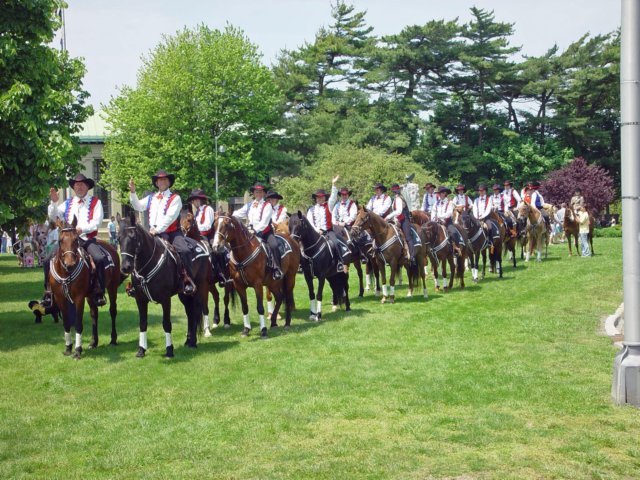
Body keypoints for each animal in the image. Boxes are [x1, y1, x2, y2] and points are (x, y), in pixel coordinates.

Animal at [49, 218, 122, 360]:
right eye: (61, 240)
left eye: (75, 240)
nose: (70, 264)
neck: (65, 273)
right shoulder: (60, 298)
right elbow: (66, 323)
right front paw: (68, 348)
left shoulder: (79, 298)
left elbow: (78, 324)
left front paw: (77, 350)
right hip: (90, 295)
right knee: (94, 314)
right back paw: (94, 342)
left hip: (112, 287)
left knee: (113, 311)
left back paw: (113, 339)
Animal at [119, 213, 209, 356]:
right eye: (118, 239)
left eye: (133, 237)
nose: (126, 267)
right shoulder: (140, 299)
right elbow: (142, 323)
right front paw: (141, 350)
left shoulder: (165, 299)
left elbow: (166, 323)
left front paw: (169, 350)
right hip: (183, 294)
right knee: (189, 313)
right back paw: (188, 341)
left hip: (199, 288)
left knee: (194, 312)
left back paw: (193, 342)